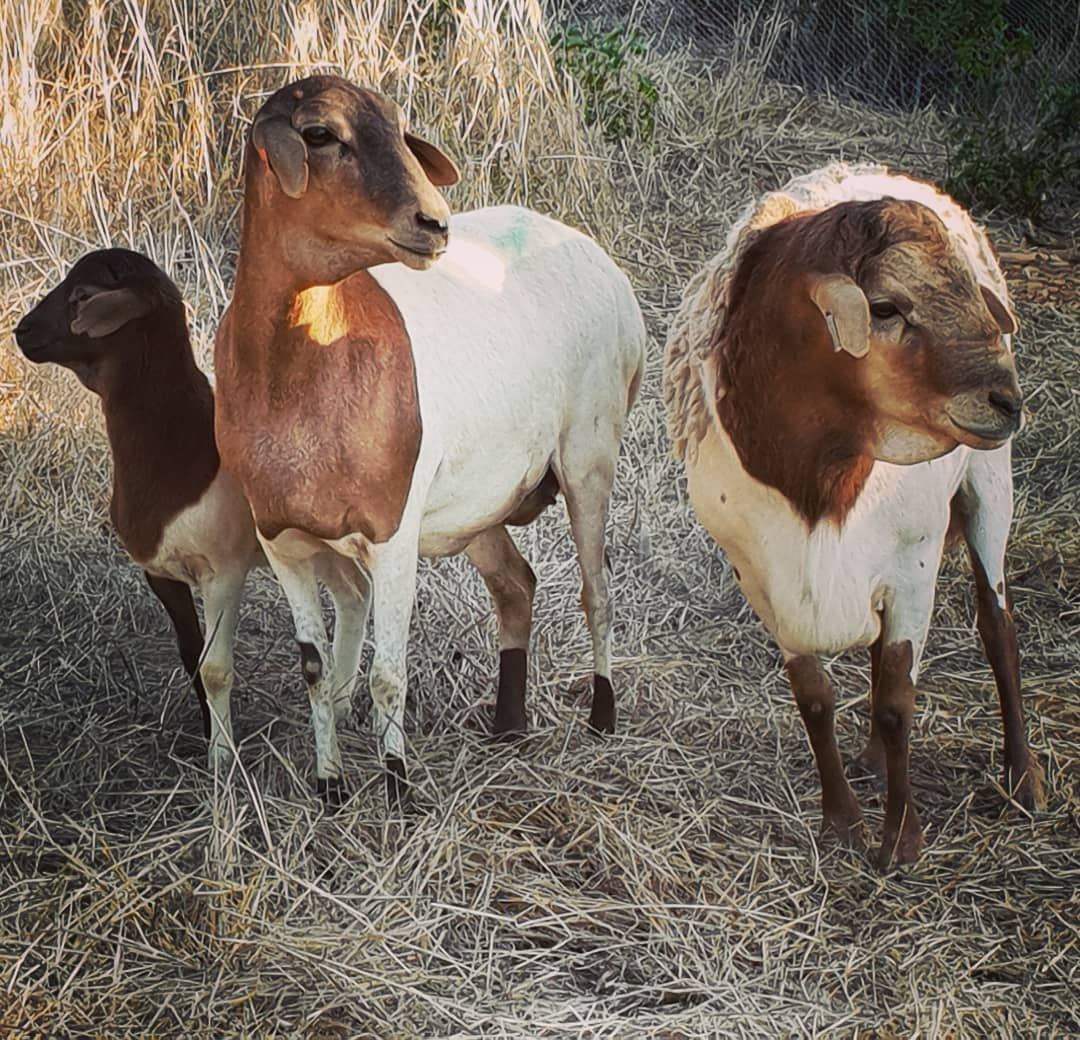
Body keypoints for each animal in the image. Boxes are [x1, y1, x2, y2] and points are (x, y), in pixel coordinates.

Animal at [13, 249, 264, 767]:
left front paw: (222, 758)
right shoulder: (160, 572)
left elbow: (217, 667)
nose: (22, 331)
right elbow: (191, 655)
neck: (184, 449)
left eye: (83, 295)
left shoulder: (224, 570)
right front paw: (206, 732)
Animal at [213, 76, 646, 804]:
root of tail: (598, 259)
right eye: (320, 134)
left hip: (589, 451)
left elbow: (388, 674)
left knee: (600, 588)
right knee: (517, 584)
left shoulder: (393, 533)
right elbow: (314, 669)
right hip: (482, 502)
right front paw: (330, 784)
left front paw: (397, 787)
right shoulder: (282, 540)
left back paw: (603, 718)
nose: (435, 222)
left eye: (397, 125)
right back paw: (508, 724)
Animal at [663, 162, 1044, 868]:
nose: (1007, 401)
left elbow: (898, 703)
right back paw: (870, 758)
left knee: (997, 626)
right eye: (886, 308)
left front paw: (901, 841)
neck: (821, 477)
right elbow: (815, 698)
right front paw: (841, 824)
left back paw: (1024, 776)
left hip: (988, 484)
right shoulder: (764, 577)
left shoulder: (913, 566)